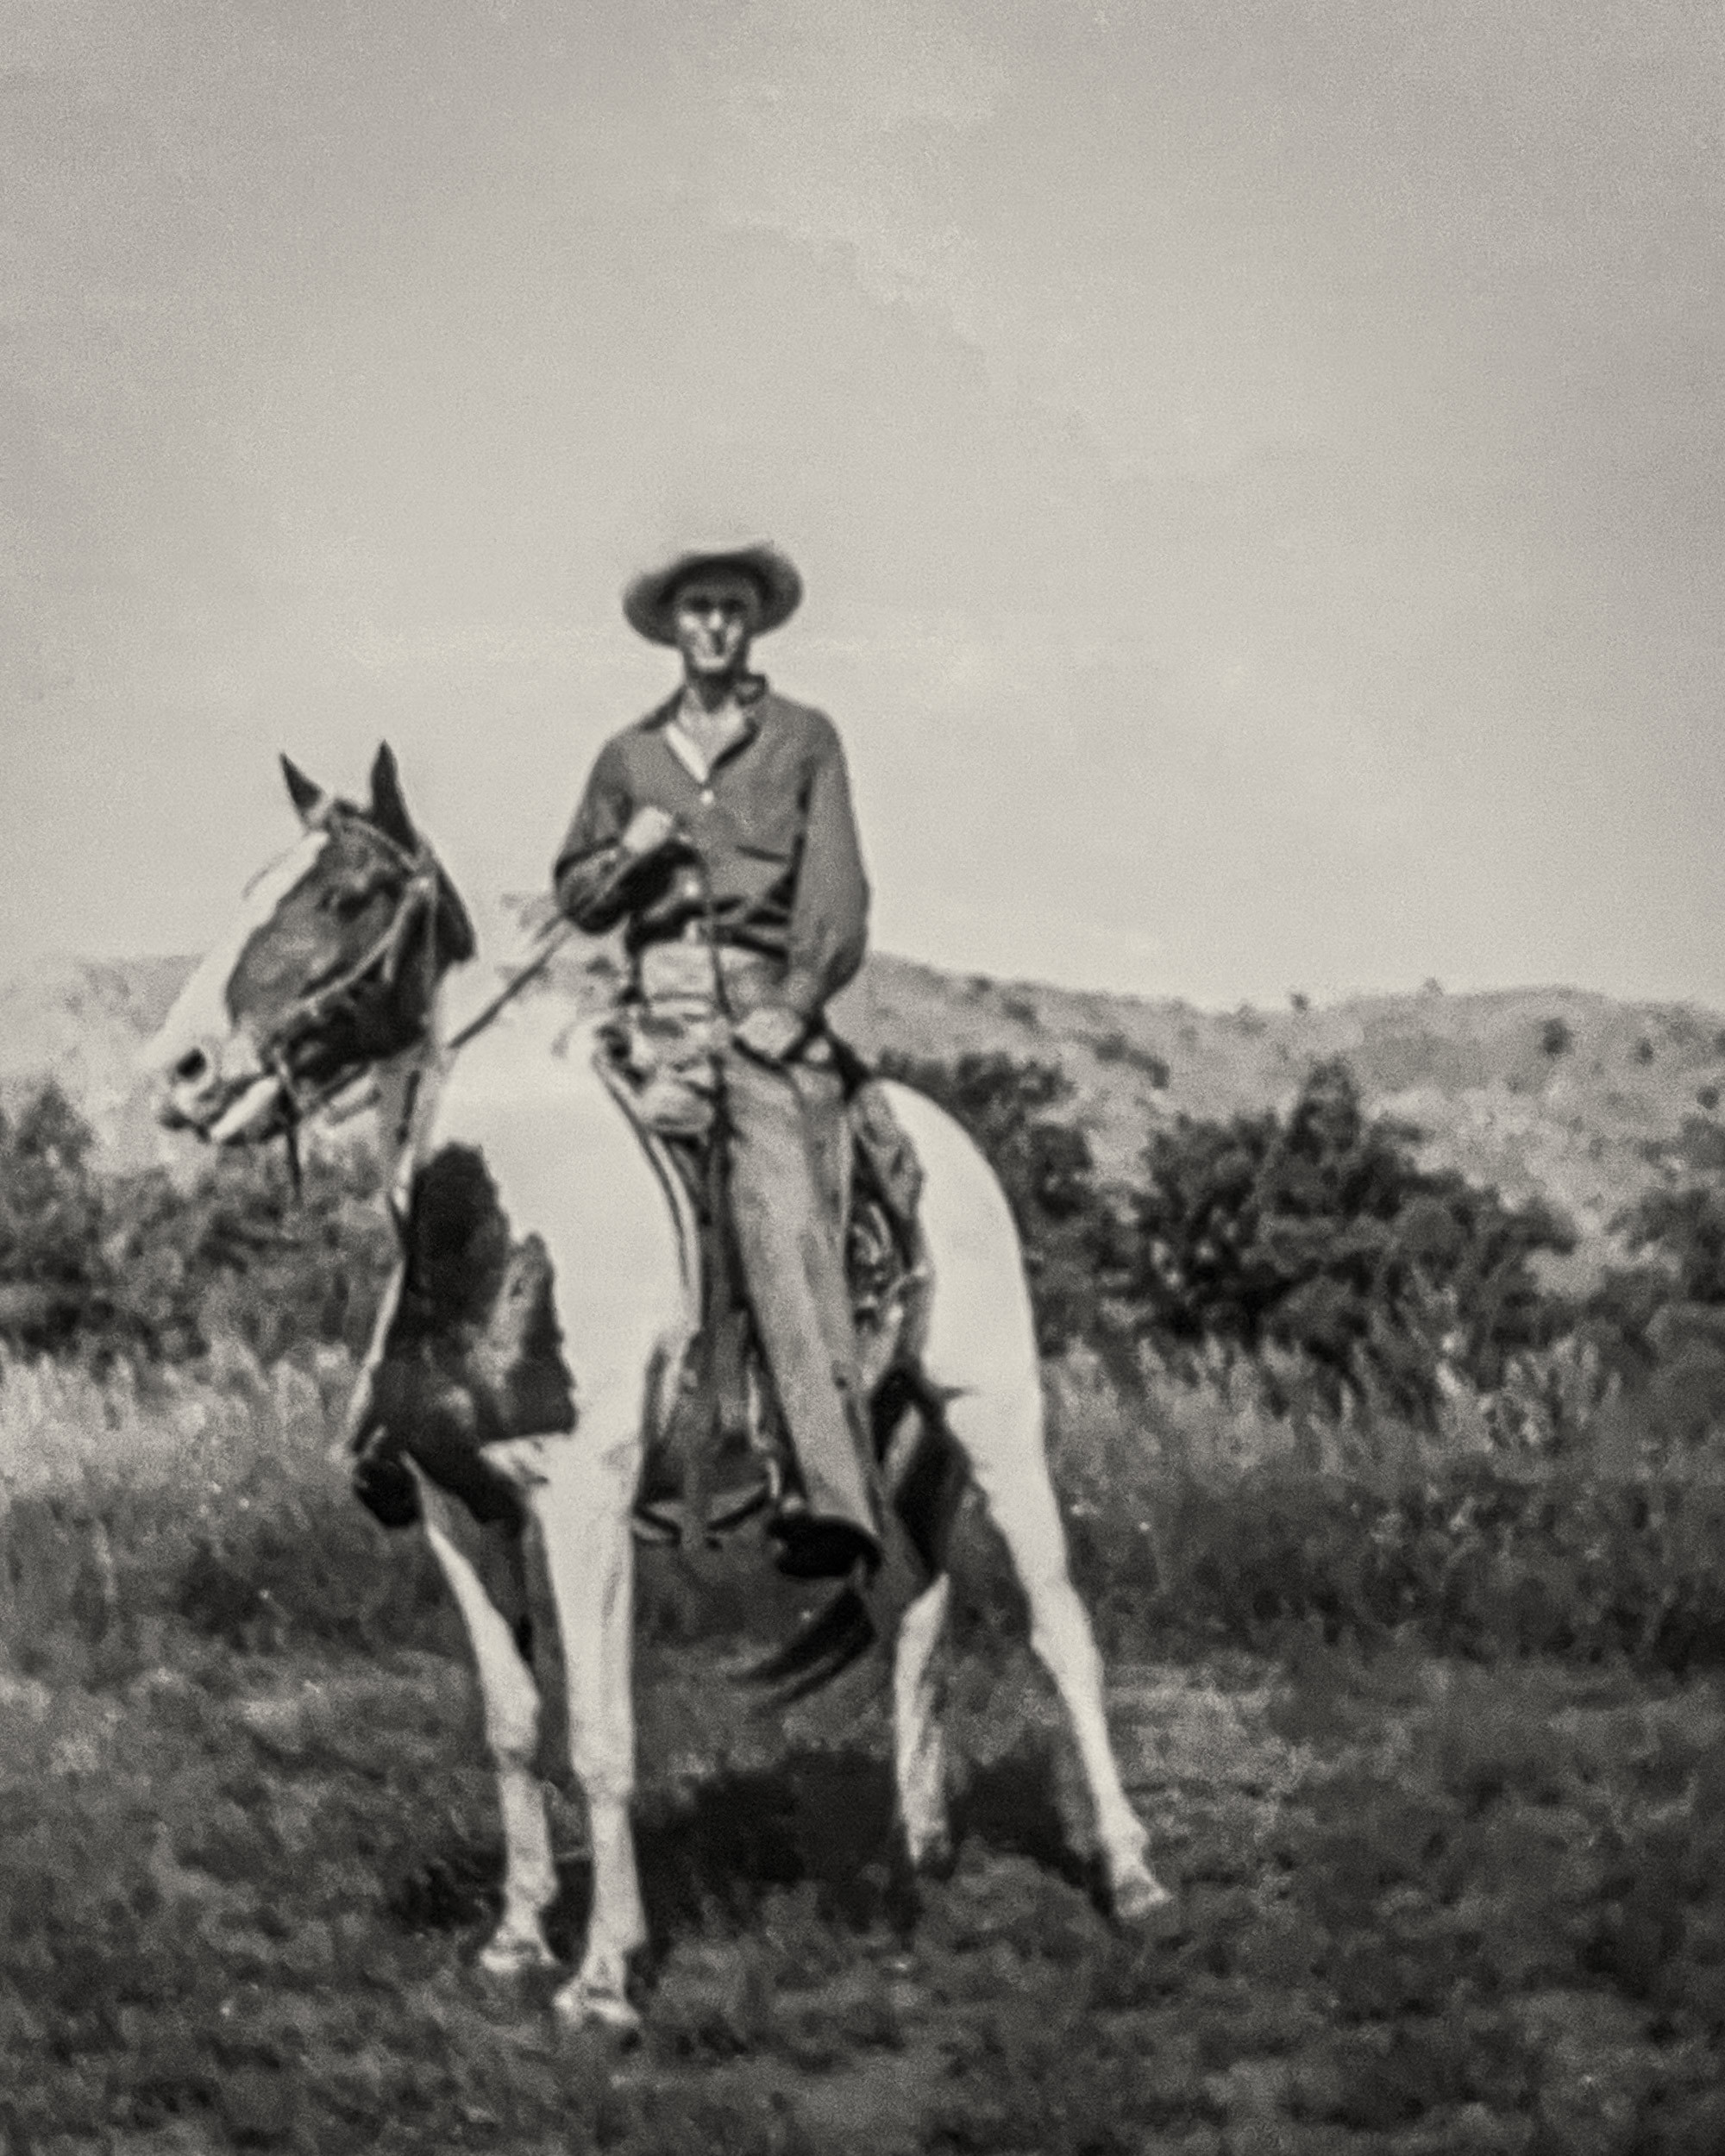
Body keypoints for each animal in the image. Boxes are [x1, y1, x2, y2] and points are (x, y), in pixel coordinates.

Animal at [144, 750, 1173, 2027]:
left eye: (343, 894)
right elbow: (511, 1725)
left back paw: (1130, 1872)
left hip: (993, 1411)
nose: (179, 1070)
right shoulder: (455, 1509)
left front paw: (601, 1977)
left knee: (1059, 1627)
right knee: (917, 1609)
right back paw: (917, 1849)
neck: (498, 1229)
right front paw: (516, 1937)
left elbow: (599, 1733)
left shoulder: (585, 1504)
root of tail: (943, 1136)